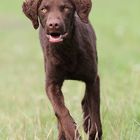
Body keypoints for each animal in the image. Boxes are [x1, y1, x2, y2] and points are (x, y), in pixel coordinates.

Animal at [22, 0, 102, 139]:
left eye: (65, 8)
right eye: (43, 9)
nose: (54, 25)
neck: (66, 49)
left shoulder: (92, 78)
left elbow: (95, 112)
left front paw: (93, 132)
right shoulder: (51, 84)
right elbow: (61, 111)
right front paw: (72, 133)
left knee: (85, 102)